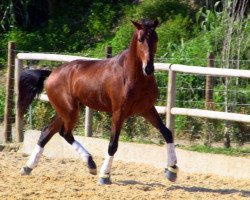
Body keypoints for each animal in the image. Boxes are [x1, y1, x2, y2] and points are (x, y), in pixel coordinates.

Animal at [19, 19, 178, 184]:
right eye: (140, 39)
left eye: (155, 38)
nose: (149, 68)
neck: (132, 76)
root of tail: (51, 74)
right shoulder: (118, 112)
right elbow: (113, 144)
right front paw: (105, 176)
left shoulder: (147, 109)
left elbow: (167, 133)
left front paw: (172, 170)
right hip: (70, 111)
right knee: (65, 133)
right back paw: (90, 164)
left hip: (66, 110)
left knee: (48, 132)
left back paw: (29, 167)